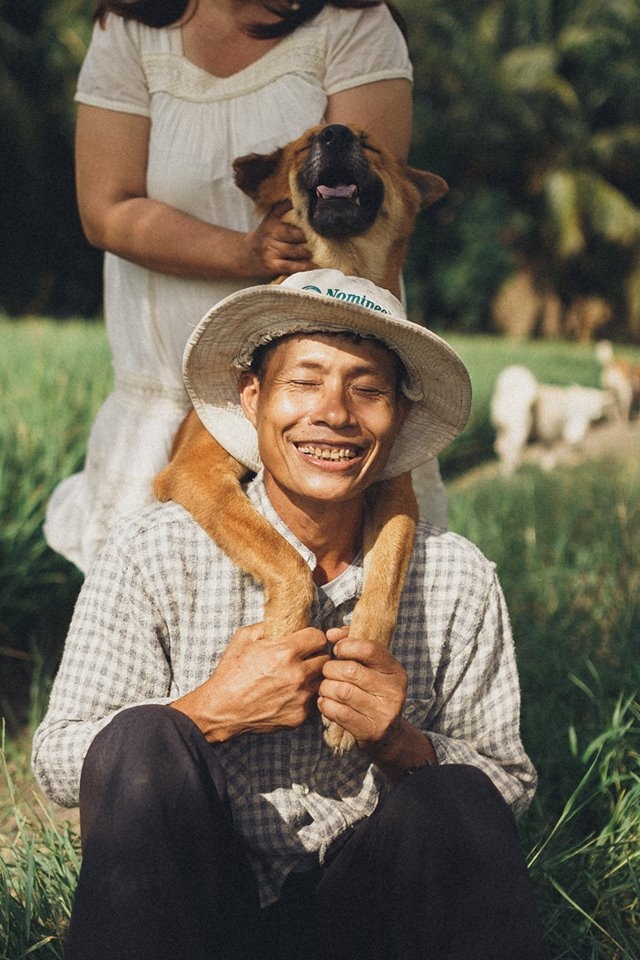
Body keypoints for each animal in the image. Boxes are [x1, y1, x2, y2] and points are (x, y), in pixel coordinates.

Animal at [154, 122, 448, 752]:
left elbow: (388, 572)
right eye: (304, 146)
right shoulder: (196, 471)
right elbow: (283, 557)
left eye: (370, 143)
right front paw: (276, 649)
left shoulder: (396, 492)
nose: (335, 134)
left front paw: (355, 690)